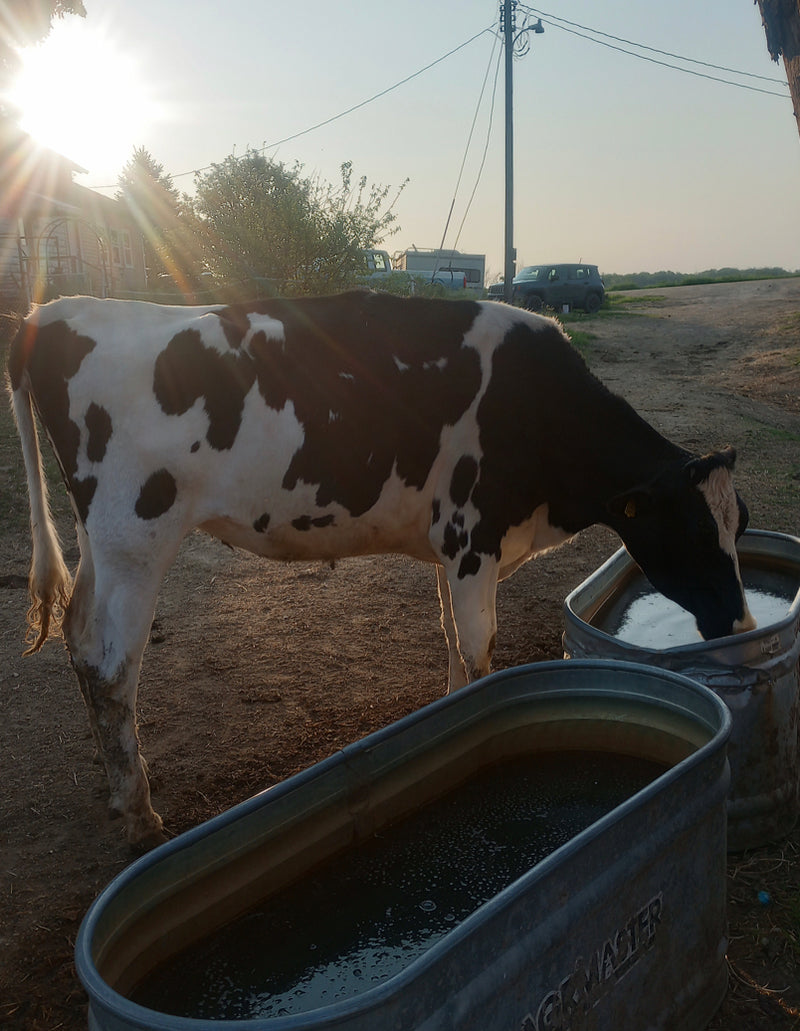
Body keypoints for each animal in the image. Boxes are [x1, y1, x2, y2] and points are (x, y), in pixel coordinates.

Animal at [9, 290, 754, 845]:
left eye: (740, 523)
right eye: (692, 531)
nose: (743, 623)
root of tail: (54, 311)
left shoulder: (451, 547)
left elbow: (455, 646)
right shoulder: (473, 534)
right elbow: (479, 649)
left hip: (100, 539)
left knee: (79, 639)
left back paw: (118, 797)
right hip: (135, 535)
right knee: (109, 664)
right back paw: (140, 816)